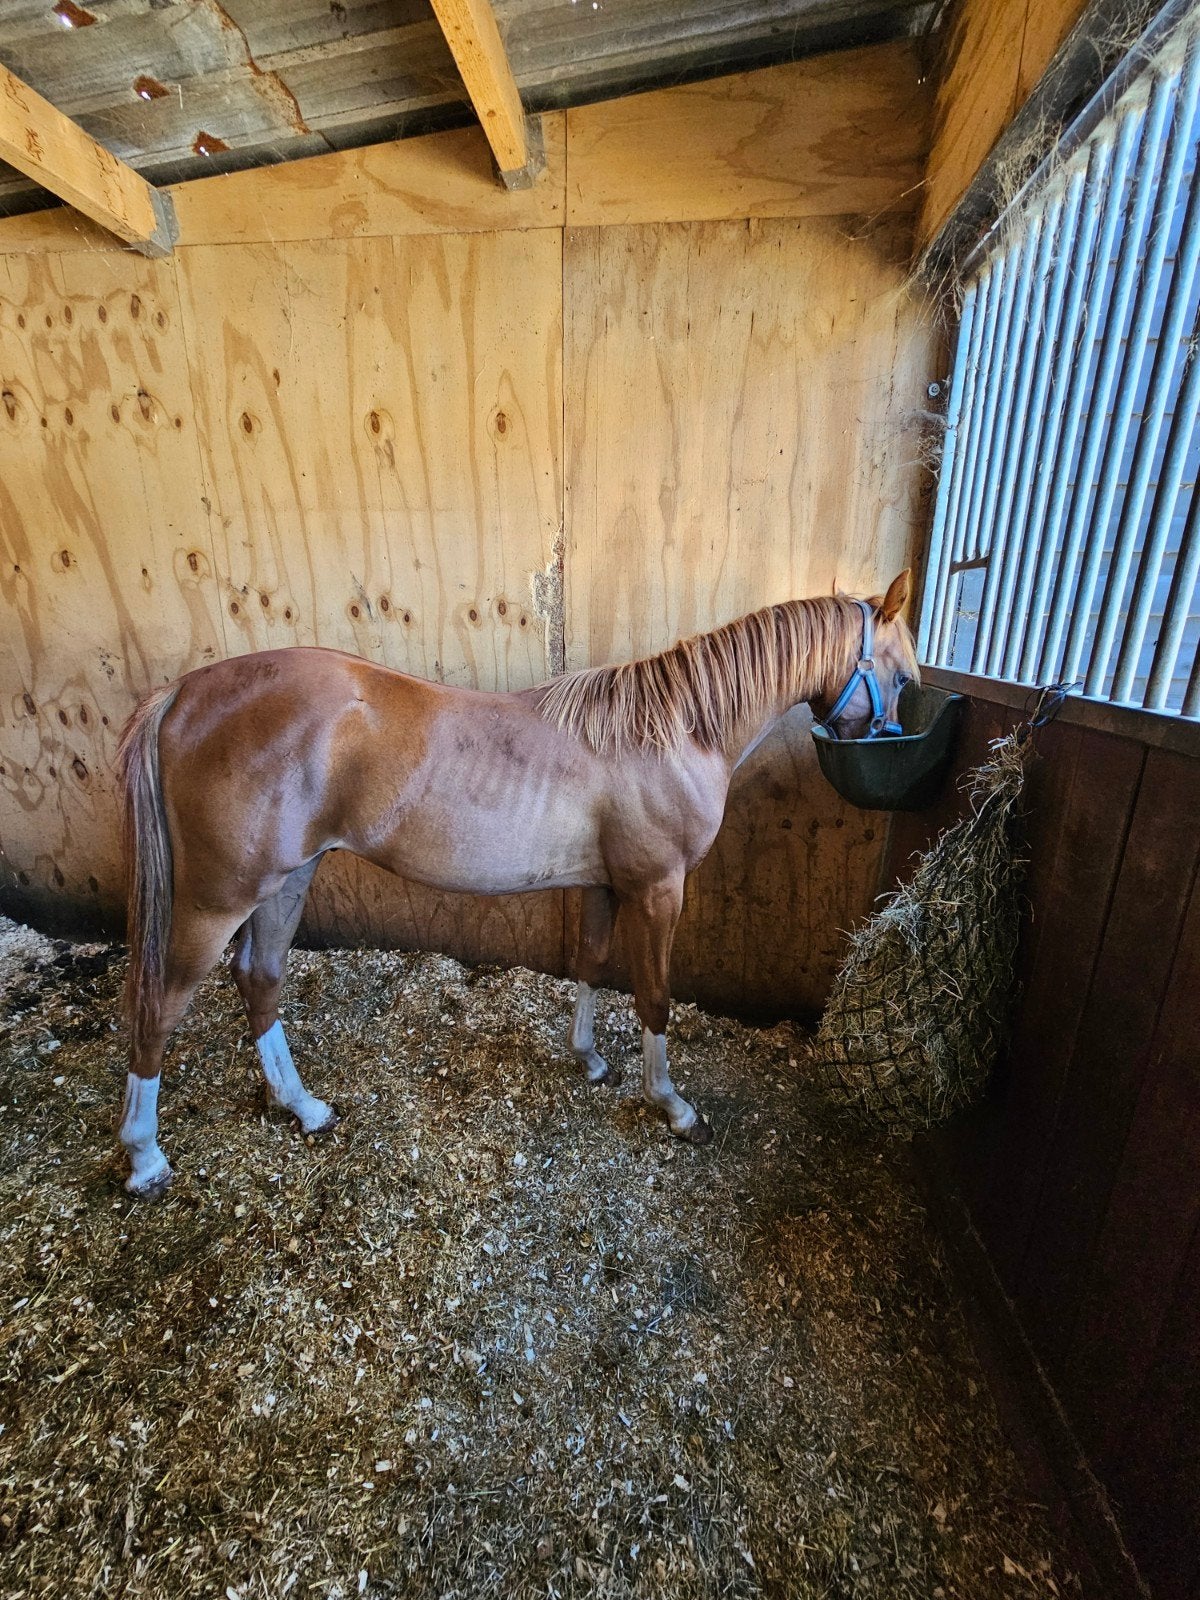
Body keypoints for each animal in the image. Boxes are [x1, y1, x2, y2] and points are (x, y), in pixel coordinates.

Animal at [114, 571, 917, 1196]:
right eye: (906, 676)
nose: (892, 752)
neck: (677, 730)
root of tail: (183, 692)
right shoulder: (658, 888)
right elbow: (655, 997)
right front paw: (672, 1106)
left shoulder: (605, 884)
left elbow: (590, 964)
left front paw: (588, 1059)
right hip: (217, 900)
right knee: (159, 1003)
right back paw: (146, 1157)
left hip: (287, 878)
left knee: (260, 977)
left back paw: (302, 1107)